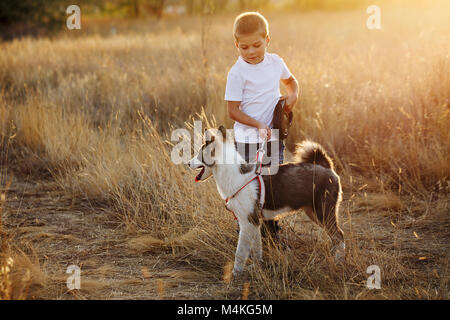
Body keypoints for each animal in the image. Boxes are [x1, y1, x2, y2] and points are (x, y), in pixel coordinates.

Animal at [186, 125, 344, 276]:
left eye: (199, 154)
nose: (187, 163)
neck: (233, 174)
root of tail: (325, 166)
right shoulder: (254, 222)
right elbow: (256, 249)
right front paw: (256, 266)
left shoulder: (247, 222)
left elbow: (240, 253)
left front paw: (236, 273)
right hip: (313, 213)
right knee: (335, 237)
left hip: (323, 212)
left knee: (339, 235)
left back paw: (337, 260)